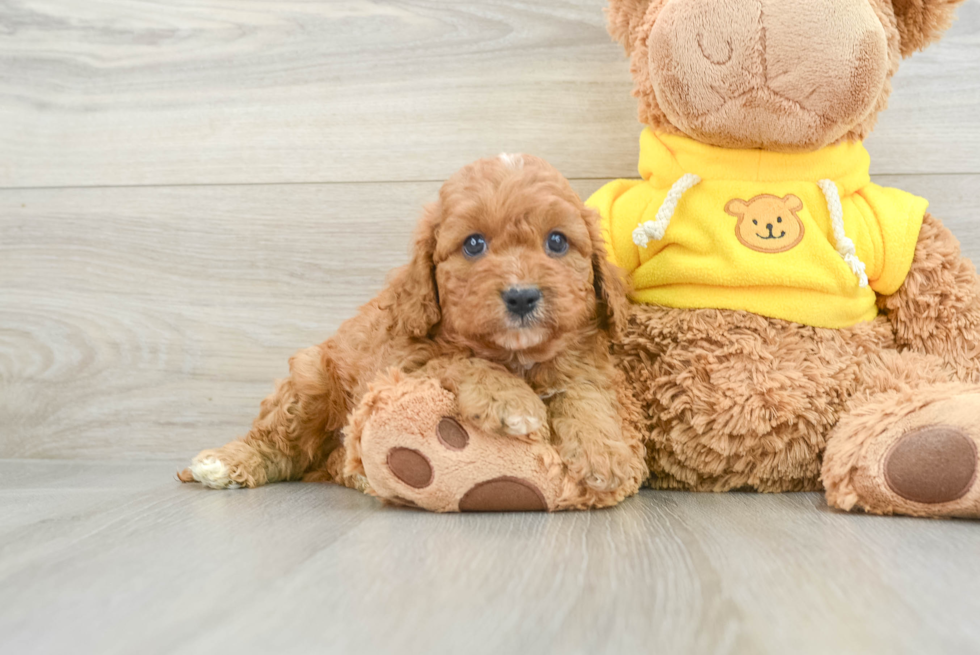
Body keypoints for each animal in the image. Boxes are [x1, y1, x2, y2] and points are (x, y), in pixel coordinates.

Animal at [180, 155, 648, 512]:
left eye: (557, 241)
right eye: (474, 244)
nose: (521, 296)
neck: (515, 354)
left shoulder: (584, 363)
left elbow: (584, 396)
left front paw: (604, 453)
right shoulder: (405, 362)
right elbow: (460, 360)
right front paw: (509, 400)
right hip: (311, 379)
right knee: (279, 444)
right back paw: (226, 462)